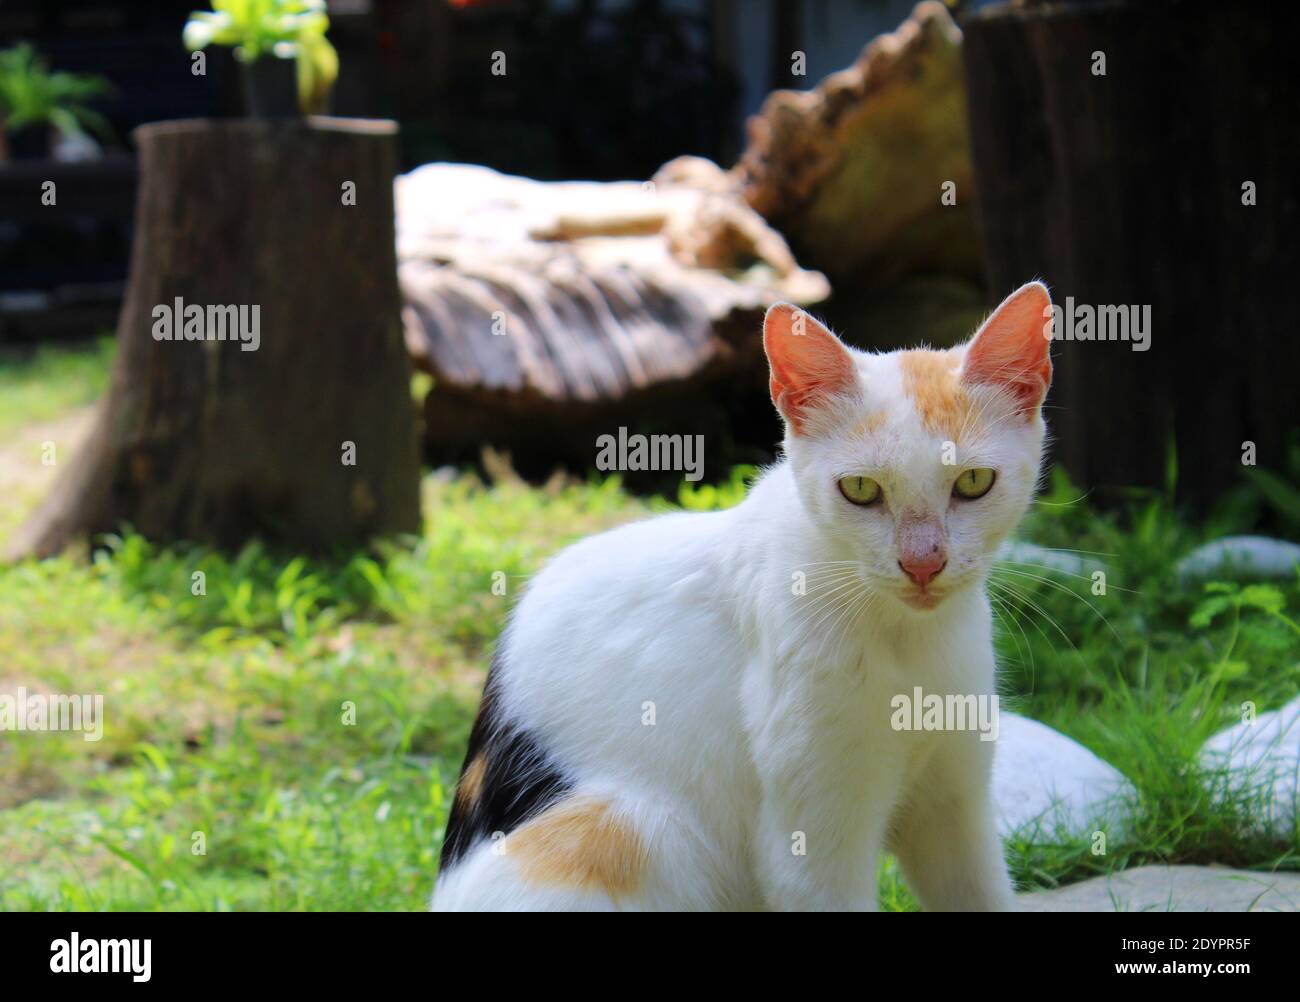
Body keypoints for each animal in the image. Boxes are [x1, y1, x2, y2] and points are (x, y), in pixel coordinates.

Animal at [436, 280, 1055, 909]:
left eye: (973, 482)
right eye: (860, 489)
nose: (923, 564)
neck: (907, 639)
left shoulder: (956, 808)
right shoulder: (812, 850)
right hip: (622, 828)